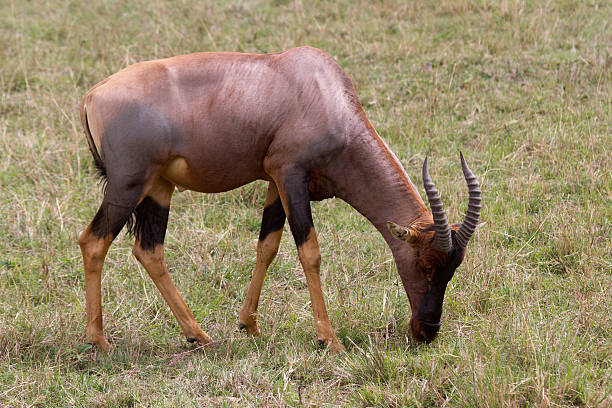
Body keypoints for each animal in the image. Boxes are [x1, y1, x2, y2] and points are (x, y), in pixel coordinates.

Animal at [77, 46, 478, 352]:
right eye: (426, 265)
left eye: (454, 267)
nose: (425, 332)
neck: (320, 90)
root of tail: (93, 95)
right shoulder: (291, 175)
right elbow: (310, 251)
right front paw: (329, 339)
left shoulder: (274, 180)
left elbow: (267, 245)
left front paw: (249, 325)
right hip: (127, 186)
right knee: (93, 241)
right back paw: (99, 340)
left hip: (159, 186)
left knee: (148, 249)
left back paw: (198, 335)